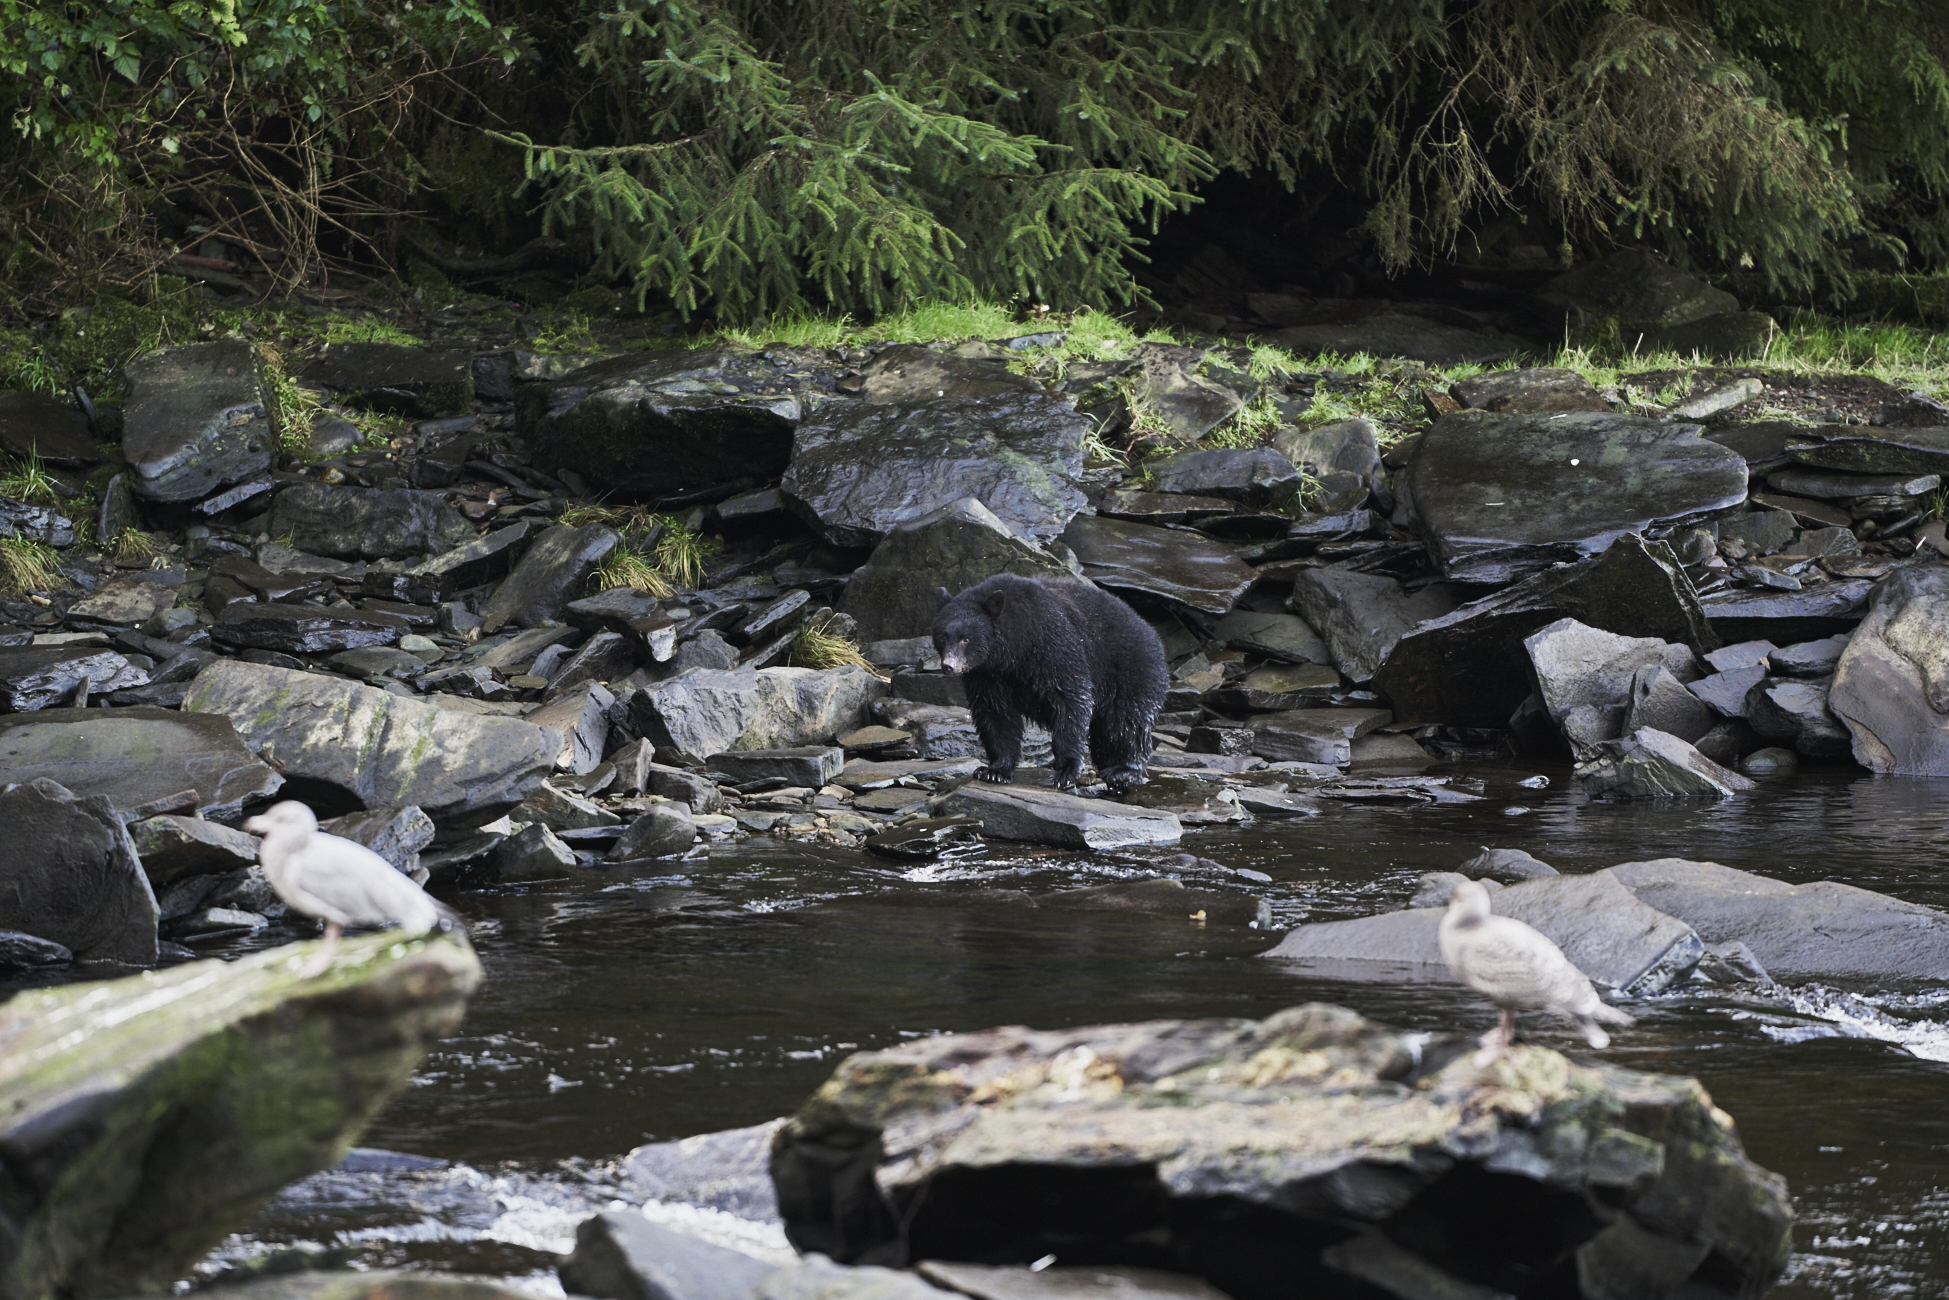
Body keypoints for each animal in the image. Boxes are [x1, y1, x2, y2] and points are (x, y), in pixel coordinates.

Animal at [931, 576, 1161, 795]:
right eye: (943, 636)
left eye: (966, 639)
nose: (948, 666)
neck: (1013, 651)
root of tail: (1150, 631)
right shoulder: (987, 674)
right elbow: (995, 713)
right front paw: (994, 770)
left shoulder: (1052, 644)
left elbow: (1071, 698)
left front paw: (1066, 771)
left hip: (1130, 670)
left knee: (1125, 723)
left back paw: (1124, 770)